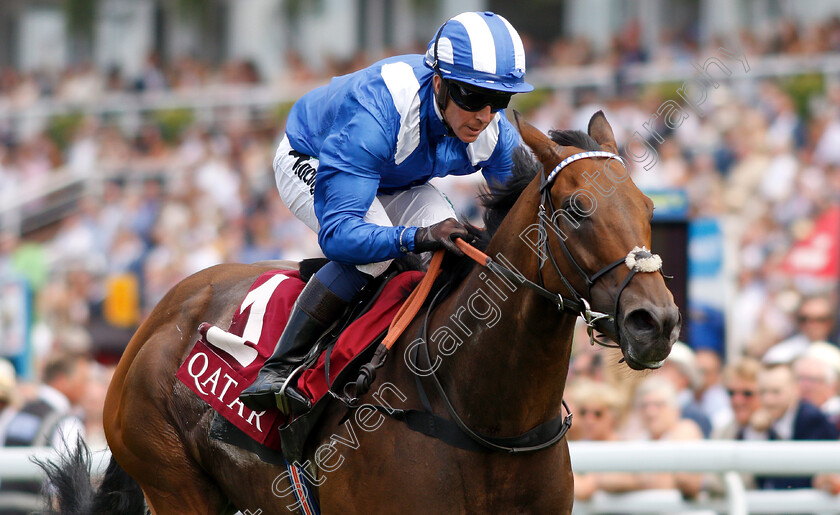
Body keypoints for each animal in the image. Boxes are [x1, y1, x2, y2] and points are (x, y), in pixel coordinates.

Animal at [46, 113, 680, 515]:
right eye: (576, 209)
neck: (491, 424)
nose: (655, 322)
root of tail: (154, 320)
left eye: (649, 208)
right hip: (174, 484)